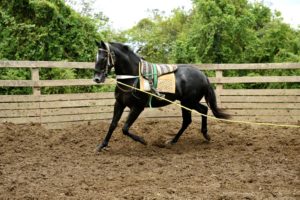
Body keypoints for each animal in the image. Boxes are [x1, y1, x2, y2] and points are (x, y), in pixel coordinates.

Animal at [94, 41, 230, 151]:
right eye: (96, 57)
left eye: (104, 57)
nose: (96, 78)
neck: (133, 77)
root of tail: (203, 75)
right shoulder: (119, 104)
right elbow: (113, 124)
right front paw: (102, 145)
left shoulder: (137, 107)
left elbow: (125, 128)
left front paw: (143, 141)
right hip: (187, 102)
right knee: (201, 111)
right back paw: (190, 137)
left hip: (188, 102)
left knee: (191, 117)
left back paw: (182, 139)